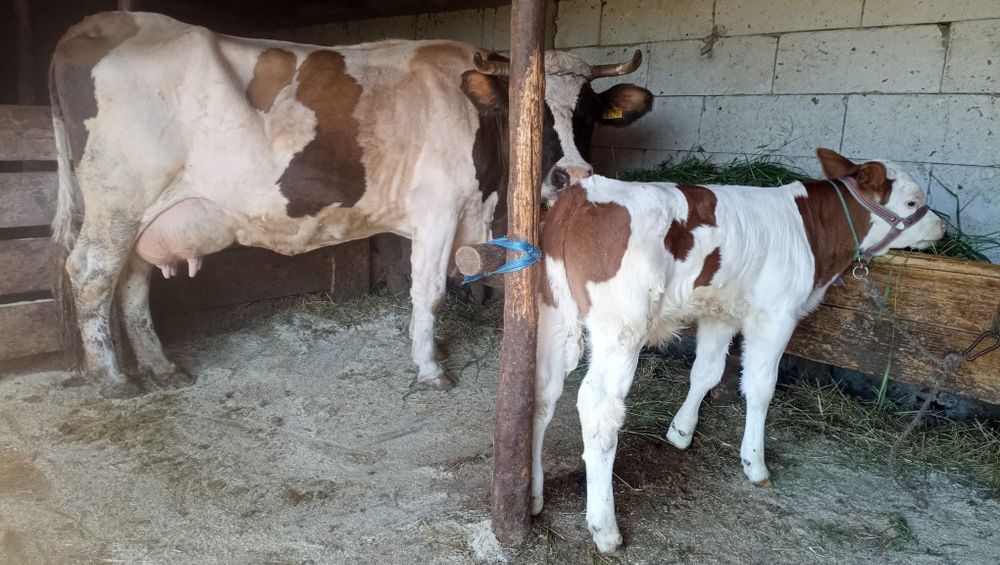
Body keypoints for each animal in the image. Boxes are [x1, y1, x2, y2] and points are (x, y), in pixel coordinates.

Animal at [49, 11, 653, 398]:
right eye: (528, 112)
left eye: (590, 113)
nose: (572, 174)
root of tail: (99, 24)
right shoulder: (438, 209)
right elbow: (429, 292)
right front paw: (430, 370)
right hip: (117, 199)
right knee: (91, 273)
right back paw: (113, 379)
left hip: (145, 215)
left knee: (131, 279)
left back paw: (159, 367)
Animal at [530, 148, 946, 553]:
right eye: (912, 201)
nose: (941, 226)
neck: (811, 232)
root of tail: (583, 193)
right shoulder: (776, 314)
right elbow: (761, 388)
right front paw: (755, 464)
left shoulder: (722, 312)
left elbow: (707, 371)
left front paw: (681, 432)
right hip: (621, 327)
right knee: (599, 410)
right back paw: (605, 529)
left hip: (553, 313)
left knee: (541, 392)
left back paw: (533, 494)